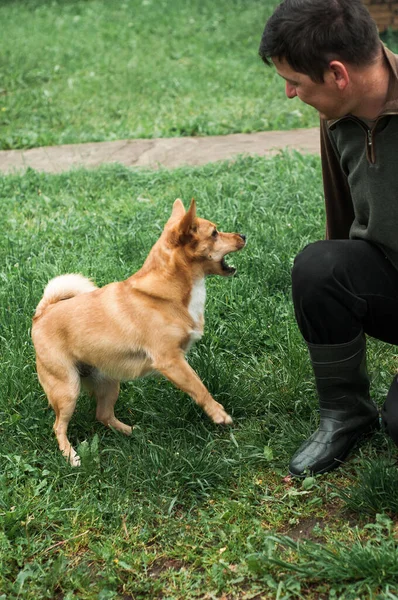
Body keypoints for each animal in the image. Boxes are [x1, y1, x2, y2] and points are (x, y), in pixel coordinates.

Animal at [31, 199, 246, 466]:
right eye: (215, 233)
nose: (243, 235)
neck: (170, 293)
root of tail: (42, 314)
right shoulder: (171, 361)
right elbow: (199, 387)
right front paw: (218, 414)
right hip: (67, 389)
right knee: (59, 426)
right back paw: (70, 455)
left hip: (108, 382)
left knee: (103, 415)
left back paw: (131, 432)